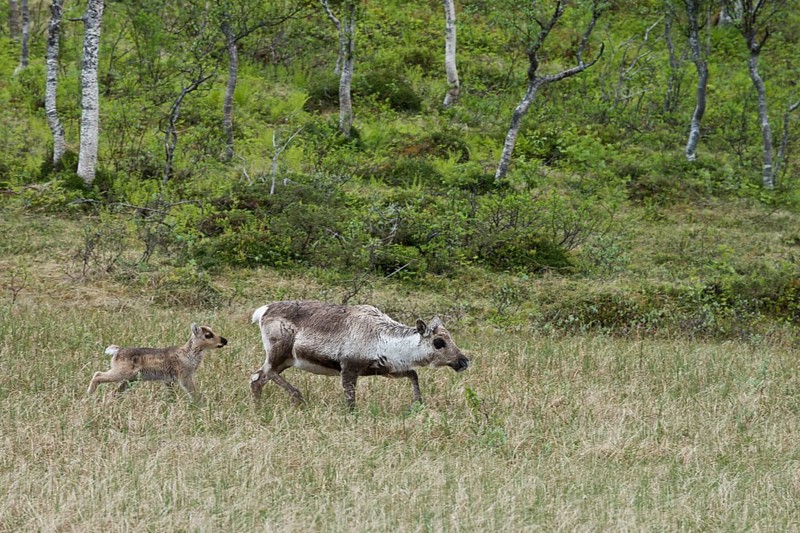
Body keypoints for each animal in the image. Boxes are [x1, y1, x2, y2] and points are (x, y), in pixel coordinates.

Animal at [87, 323, 228, 401]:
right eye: (208, 335)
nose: (224, 341)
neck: (188, 354)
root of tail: (117, 350)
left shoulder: (168, 381)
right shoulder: (184, 377)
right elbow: (192, 392)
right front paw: (199, 403)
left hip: (129, 380)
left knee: (114, 391)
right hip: (121, 374)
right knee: (98, 375)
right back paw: (89, 394)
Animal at [249, 300, 470, 410]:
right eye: (438, 342)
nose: (464, 361)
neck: (384, 340)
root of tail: (262, 311)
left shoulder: (385, 369)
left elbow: (413, 374)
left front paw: (418, 403)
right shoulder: (348, 368)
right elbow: (350, 401)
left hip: (286, 360)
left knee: (257, 377)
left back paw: (259, 408)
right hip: (280, 351)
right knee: (265, 372)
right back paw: (297, 396)